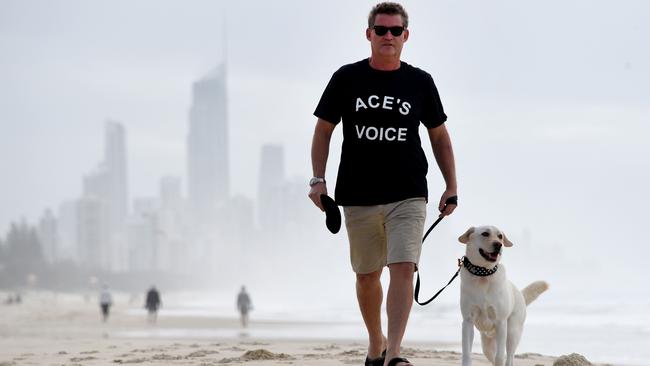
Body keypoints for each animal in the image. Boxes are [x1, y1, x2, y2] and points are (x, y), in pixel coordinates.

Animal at [456, 226, 548, 366]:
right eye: (485, 234)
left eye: (500, 236)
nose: (498, 245)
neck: (483, 275)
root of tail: (519, 293)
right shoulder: (468, 321)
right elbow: (466, 354)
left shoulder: (500, 323)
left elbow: (500, 357)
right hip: (487, 344)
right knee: (492, 356)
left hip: (512, 333)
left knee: (509, 358)